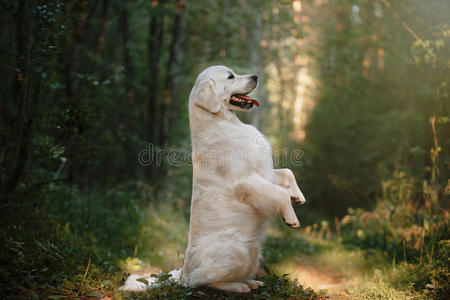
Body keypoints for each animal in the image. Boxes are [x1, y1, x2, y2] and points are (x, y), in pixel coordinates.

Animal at [120, 65, 306, 292]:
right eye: (230, 76)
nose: (255, 76)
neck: (226, 122)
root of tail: (182, 273)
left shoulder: (264, 172)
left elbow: (287, 172)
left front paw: (297, 196)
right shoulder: (245, 180)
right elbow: (279, 193)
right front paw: (291, 217)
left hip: (254, 253)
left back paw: (251, 282)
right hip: (236, 252)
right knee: (201, 281)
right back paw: (238, 287)